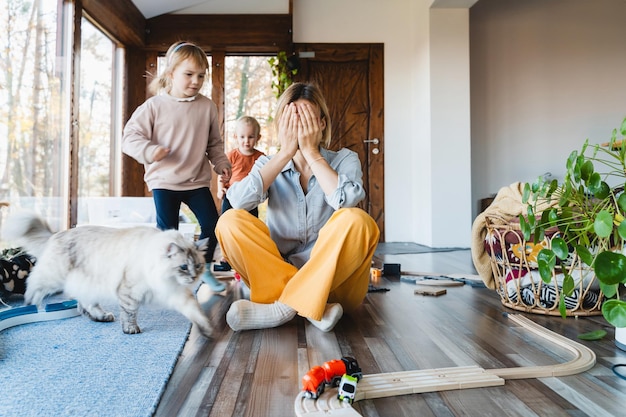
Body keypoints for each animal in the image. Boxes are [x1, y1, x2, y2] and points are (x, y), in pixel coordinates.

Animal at [1, 211, 214, 338]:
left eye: (198, 266)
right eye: (183, 267)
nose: (193, 278)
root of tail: (58, 233)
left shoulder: (176, 293)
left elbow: (195, 311)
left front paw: (207, 330)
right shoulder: (130, 292)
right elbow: (130, 313)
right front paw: (130, 329)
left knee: (84, 305)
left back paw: (101, 316)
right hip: (54, 277)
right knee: (34, 284)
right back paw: (33, 306)